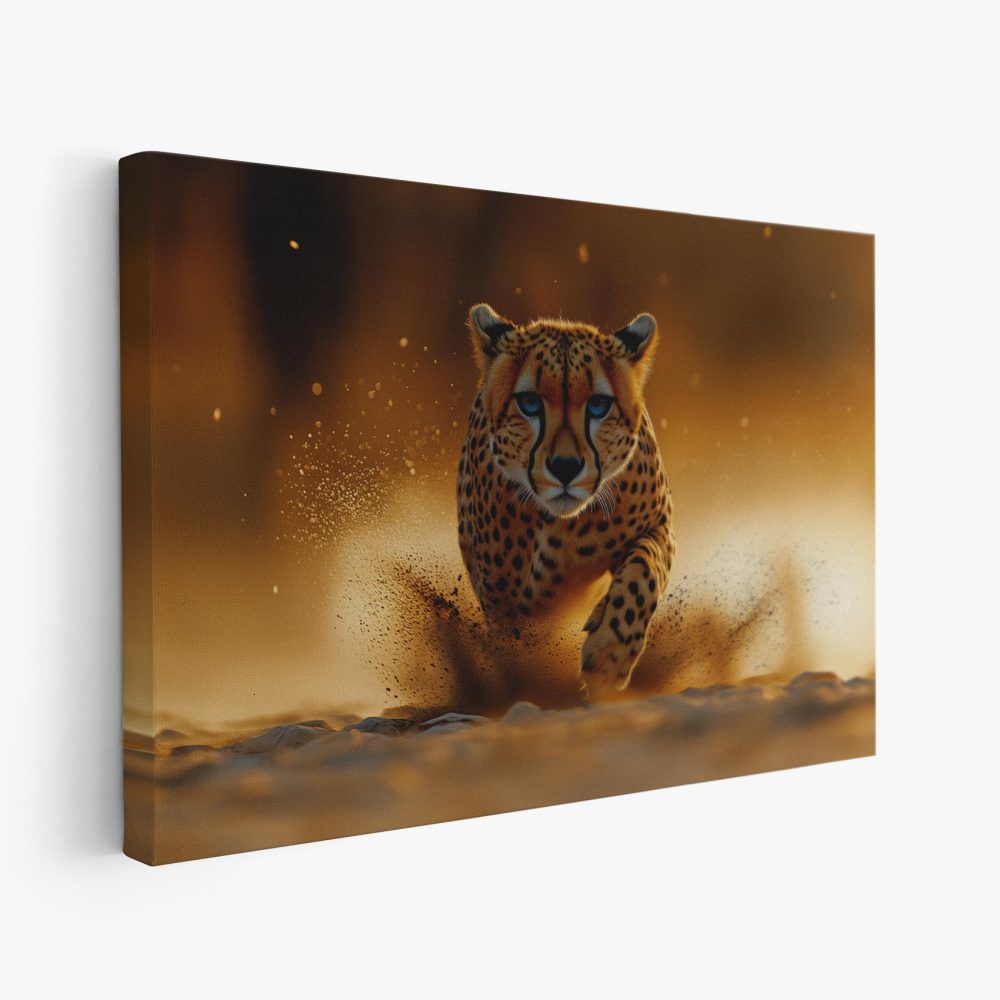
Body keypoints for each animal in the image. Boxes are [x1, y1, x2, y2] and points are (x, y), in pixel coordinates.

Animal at [457, 302, 676, 695]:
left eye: (599, 405)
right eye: (529, 403)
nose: (565, 467)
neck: (567, 523)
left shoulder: (659, 524)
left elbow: (643, 572)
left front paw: (610, 653)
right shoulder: (505, 606)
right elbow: (516, 650)